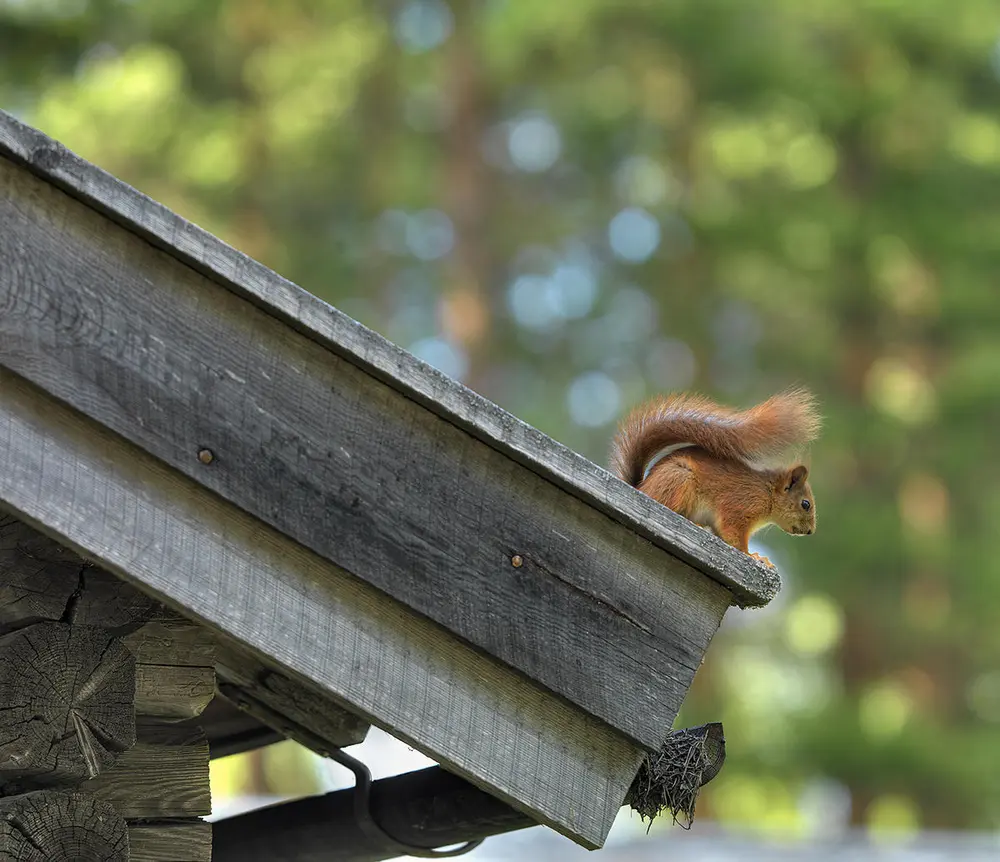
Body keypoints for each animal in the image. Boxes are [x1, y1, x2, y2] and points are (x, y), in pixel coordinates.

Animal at [608, 390, 820, 568]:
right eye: (805, 504)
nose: (810, 531)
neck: (766, 493)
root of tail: (640, 487)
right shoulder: (739, 507)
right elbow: (733, 535)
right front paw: (753, 556)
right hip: (679, 479)